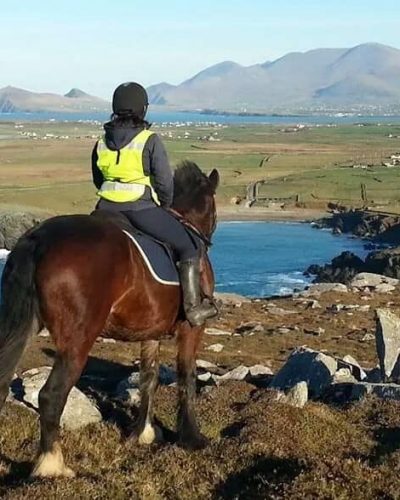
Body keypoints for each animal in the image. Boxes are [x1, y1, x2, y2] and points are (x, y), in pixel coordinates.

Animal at [0, 162, 219, 478]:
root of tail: (39, 238)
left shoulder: (150, 333)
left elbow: (149, 379)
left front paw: (143, 433)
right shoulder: (193, 327)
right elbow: (186, 376)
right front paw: (192, 437)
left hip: (22, 328)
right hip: (77, 342)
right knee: (51, 396)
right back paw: (52, 466)